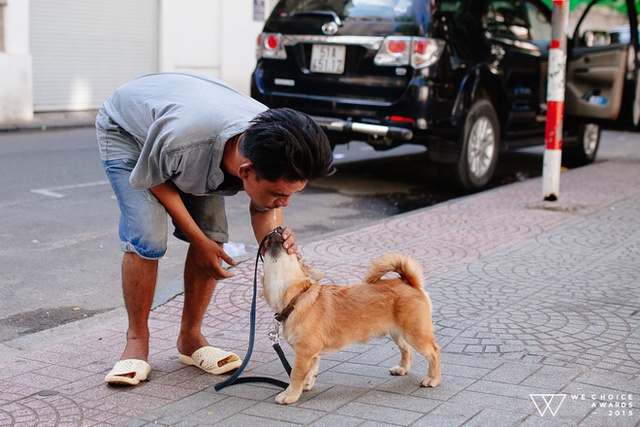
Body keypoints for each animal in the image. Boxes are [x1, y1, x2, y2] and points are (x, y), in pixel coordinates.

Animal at [262, 232, 440, 406]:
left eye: (291, 252)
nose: (276, 231)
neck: (298, 298)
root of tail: (410, 283)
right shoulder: (312, 354)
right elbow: (311, 370)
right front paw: (306, 384)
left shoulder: (304, 352)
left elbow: (296, 374)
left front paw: (290, 394)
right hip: (398, 334)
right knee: (406, 349)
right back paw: (402, 368)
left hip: (416, 335)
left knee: (434, 352)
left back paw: (433, 379)